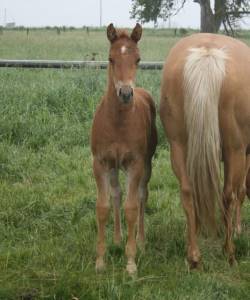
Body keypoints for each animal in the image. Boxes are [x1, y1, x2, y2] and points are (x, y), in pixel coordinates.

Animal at [90, 24, 156, 276]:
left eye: (138, 59)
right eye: (111, 59)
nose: (126, 94)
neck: (117, 122)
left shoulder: (135, 164)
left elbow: (131, 207)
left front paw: (130, 262)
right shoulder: (100, 163)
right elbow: (103, 206)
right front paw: (100, 260)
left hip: (146, 164)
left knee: (142, 195)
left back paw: (141, 241)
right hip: (114, 167)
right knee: (117, 194)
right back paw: (118, 239)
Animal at [160, 32, 250, 268]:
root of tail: (207, 52)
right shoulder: (245, 154)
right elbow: (241, 191)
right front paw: (237, 229)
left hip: (178, 147)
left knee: (188, 190)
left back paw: (193, 255)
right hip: (234, 150)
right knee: (228, 195)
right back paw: (229, 252)